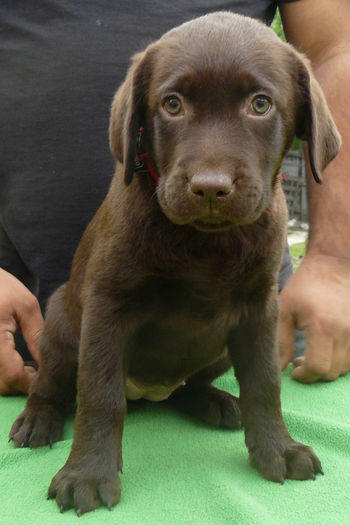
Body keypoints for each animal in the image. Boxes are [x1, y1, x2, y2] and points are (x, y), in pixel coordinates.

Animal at [9, 12, 340, 516]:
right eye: (172, 104)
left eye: (261, 104)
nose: (210, 187)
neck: (206, 240)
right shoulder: (107, 307)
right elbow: (100, 396)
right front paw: (87, 473)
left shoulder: (260, 310)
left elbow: (265, 383)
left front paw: (278, 449)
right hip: (62, 329)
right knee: (52, 385)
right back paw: (38, 419)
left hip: (219, 348)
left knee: (188, 389)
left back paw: (217, 403)